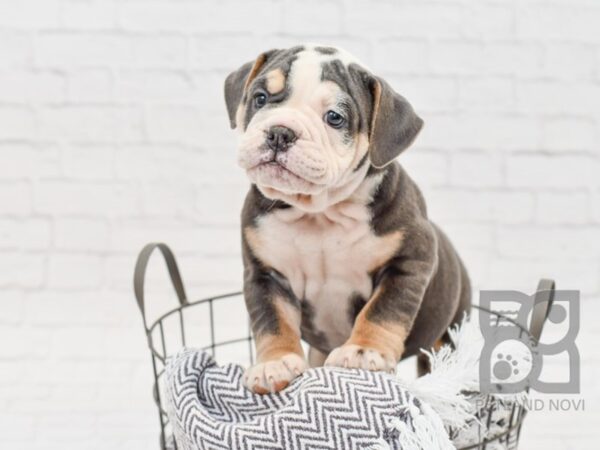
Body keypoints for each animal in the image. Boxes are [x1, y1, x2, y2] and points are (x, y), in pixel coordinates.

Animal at [223, 45, 472, 394]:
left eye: (334, 117)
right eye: (260, 98)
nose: (280, 133)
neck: (319, 212)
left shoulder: (408, 262)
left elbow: (382, 311)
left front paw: (363, 352)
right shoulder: (265, 274)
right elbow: (272, 320)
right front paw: (274, 363)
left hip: (449, 331)